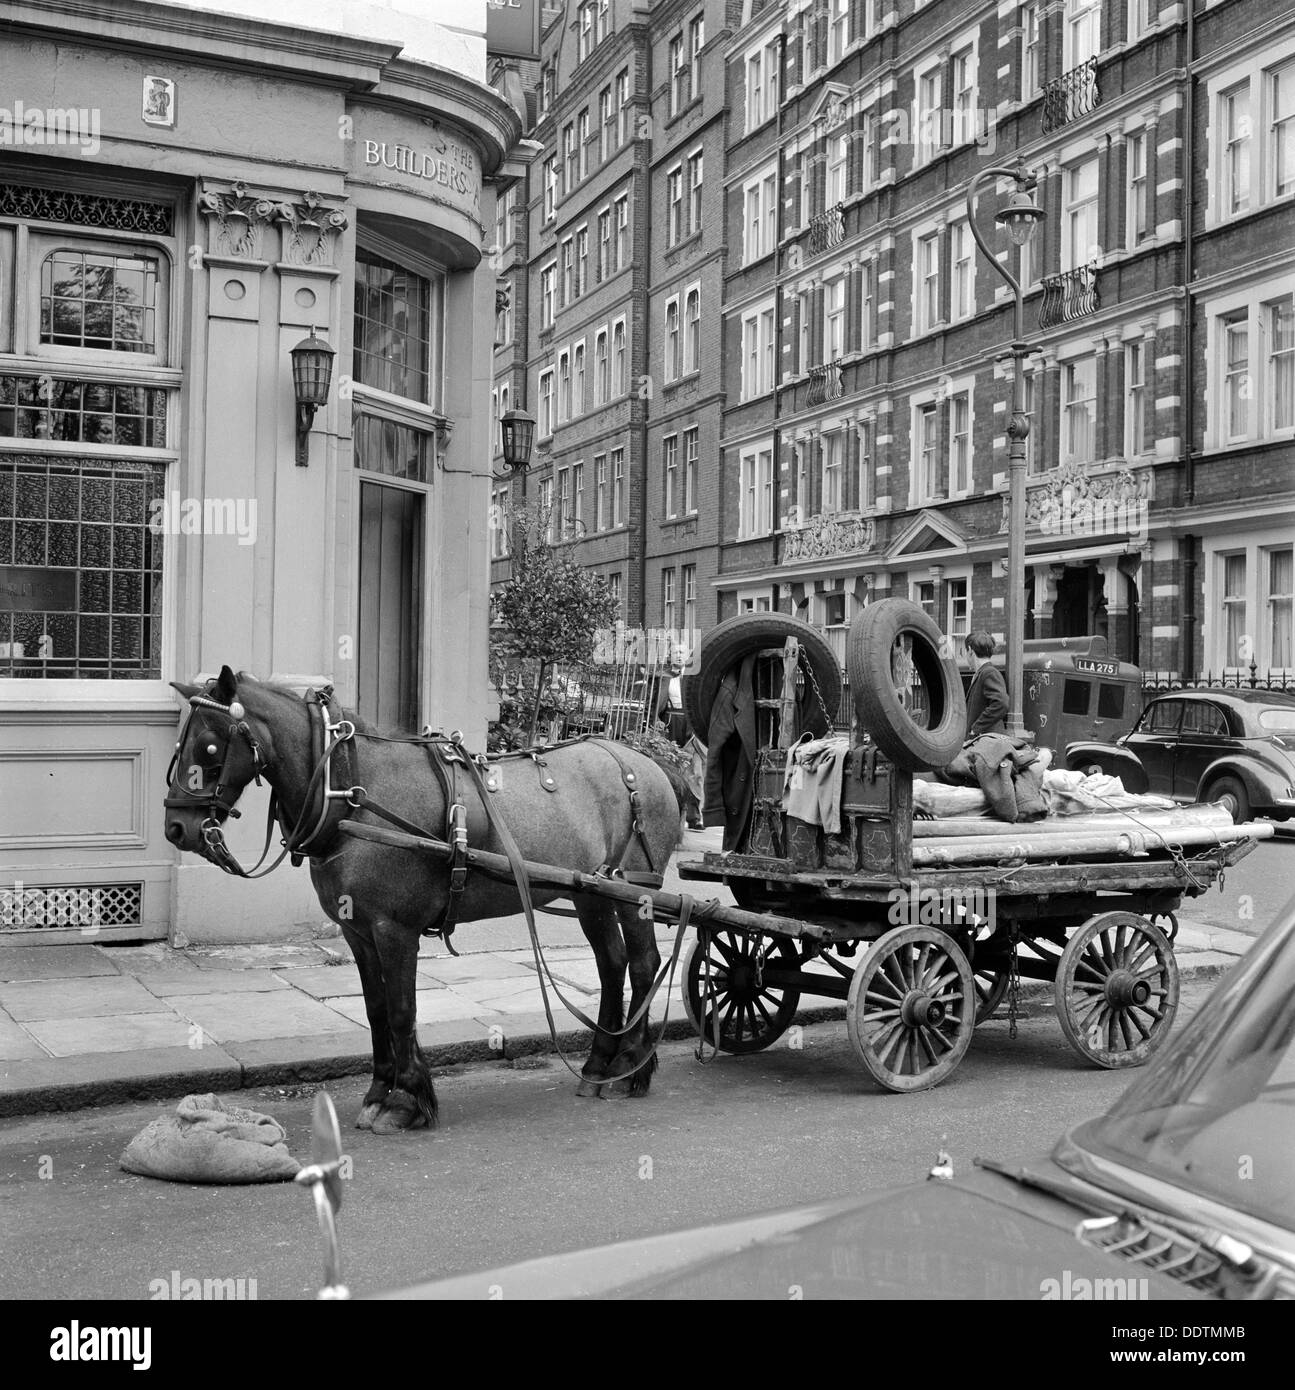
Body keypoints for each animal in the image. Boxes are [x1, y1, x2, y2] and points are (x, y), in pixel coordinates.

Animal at [164, 667, 678, 1134]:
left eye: (209, 746)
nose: (177, 828)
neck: (352, 796)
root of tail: (645, 763)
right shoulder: (358, 931)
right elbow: (376, 1010)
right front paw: (379, 1092)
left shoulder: (395, 929)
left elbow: (401, 1010)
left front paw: (406, 1101)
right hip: (592, 894)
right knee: (612, 964)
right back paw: (598, 1065)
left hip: (635, 892)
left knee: (643, 964)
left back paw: (629, 1067)